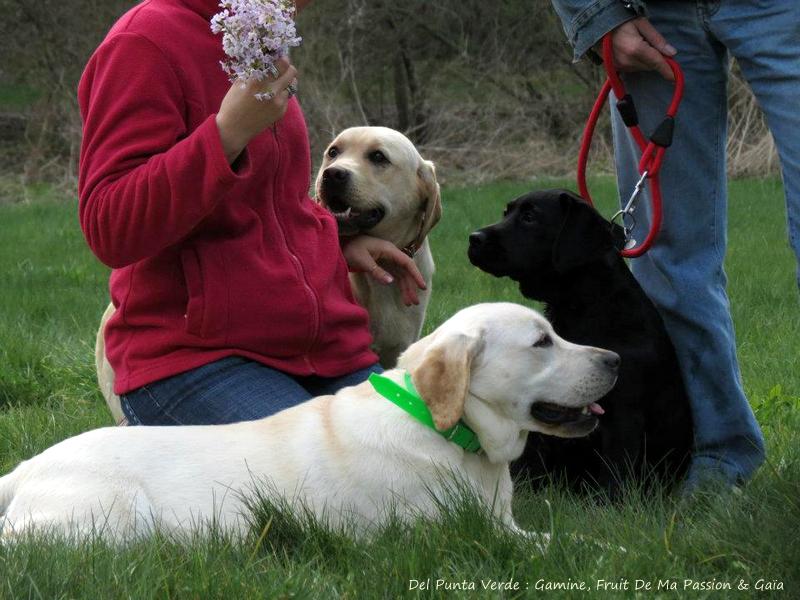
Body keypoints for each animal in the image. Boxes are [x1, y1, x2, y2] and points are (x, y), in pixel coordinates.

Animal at [0, 302, 620, 540]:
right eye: (542, 342)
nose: (616, 359)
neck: (448, 430)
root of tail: (28, 465)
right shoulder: (449, 529)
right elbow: (555, 546)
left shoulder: (502, 524)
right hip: (107, 519)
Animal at [468, 190, 692, 494]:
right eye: (506, 213)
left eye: (530, 217)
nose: (474, 238)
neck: (583, 309)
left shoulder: (623, 415)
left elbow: (614, 473)